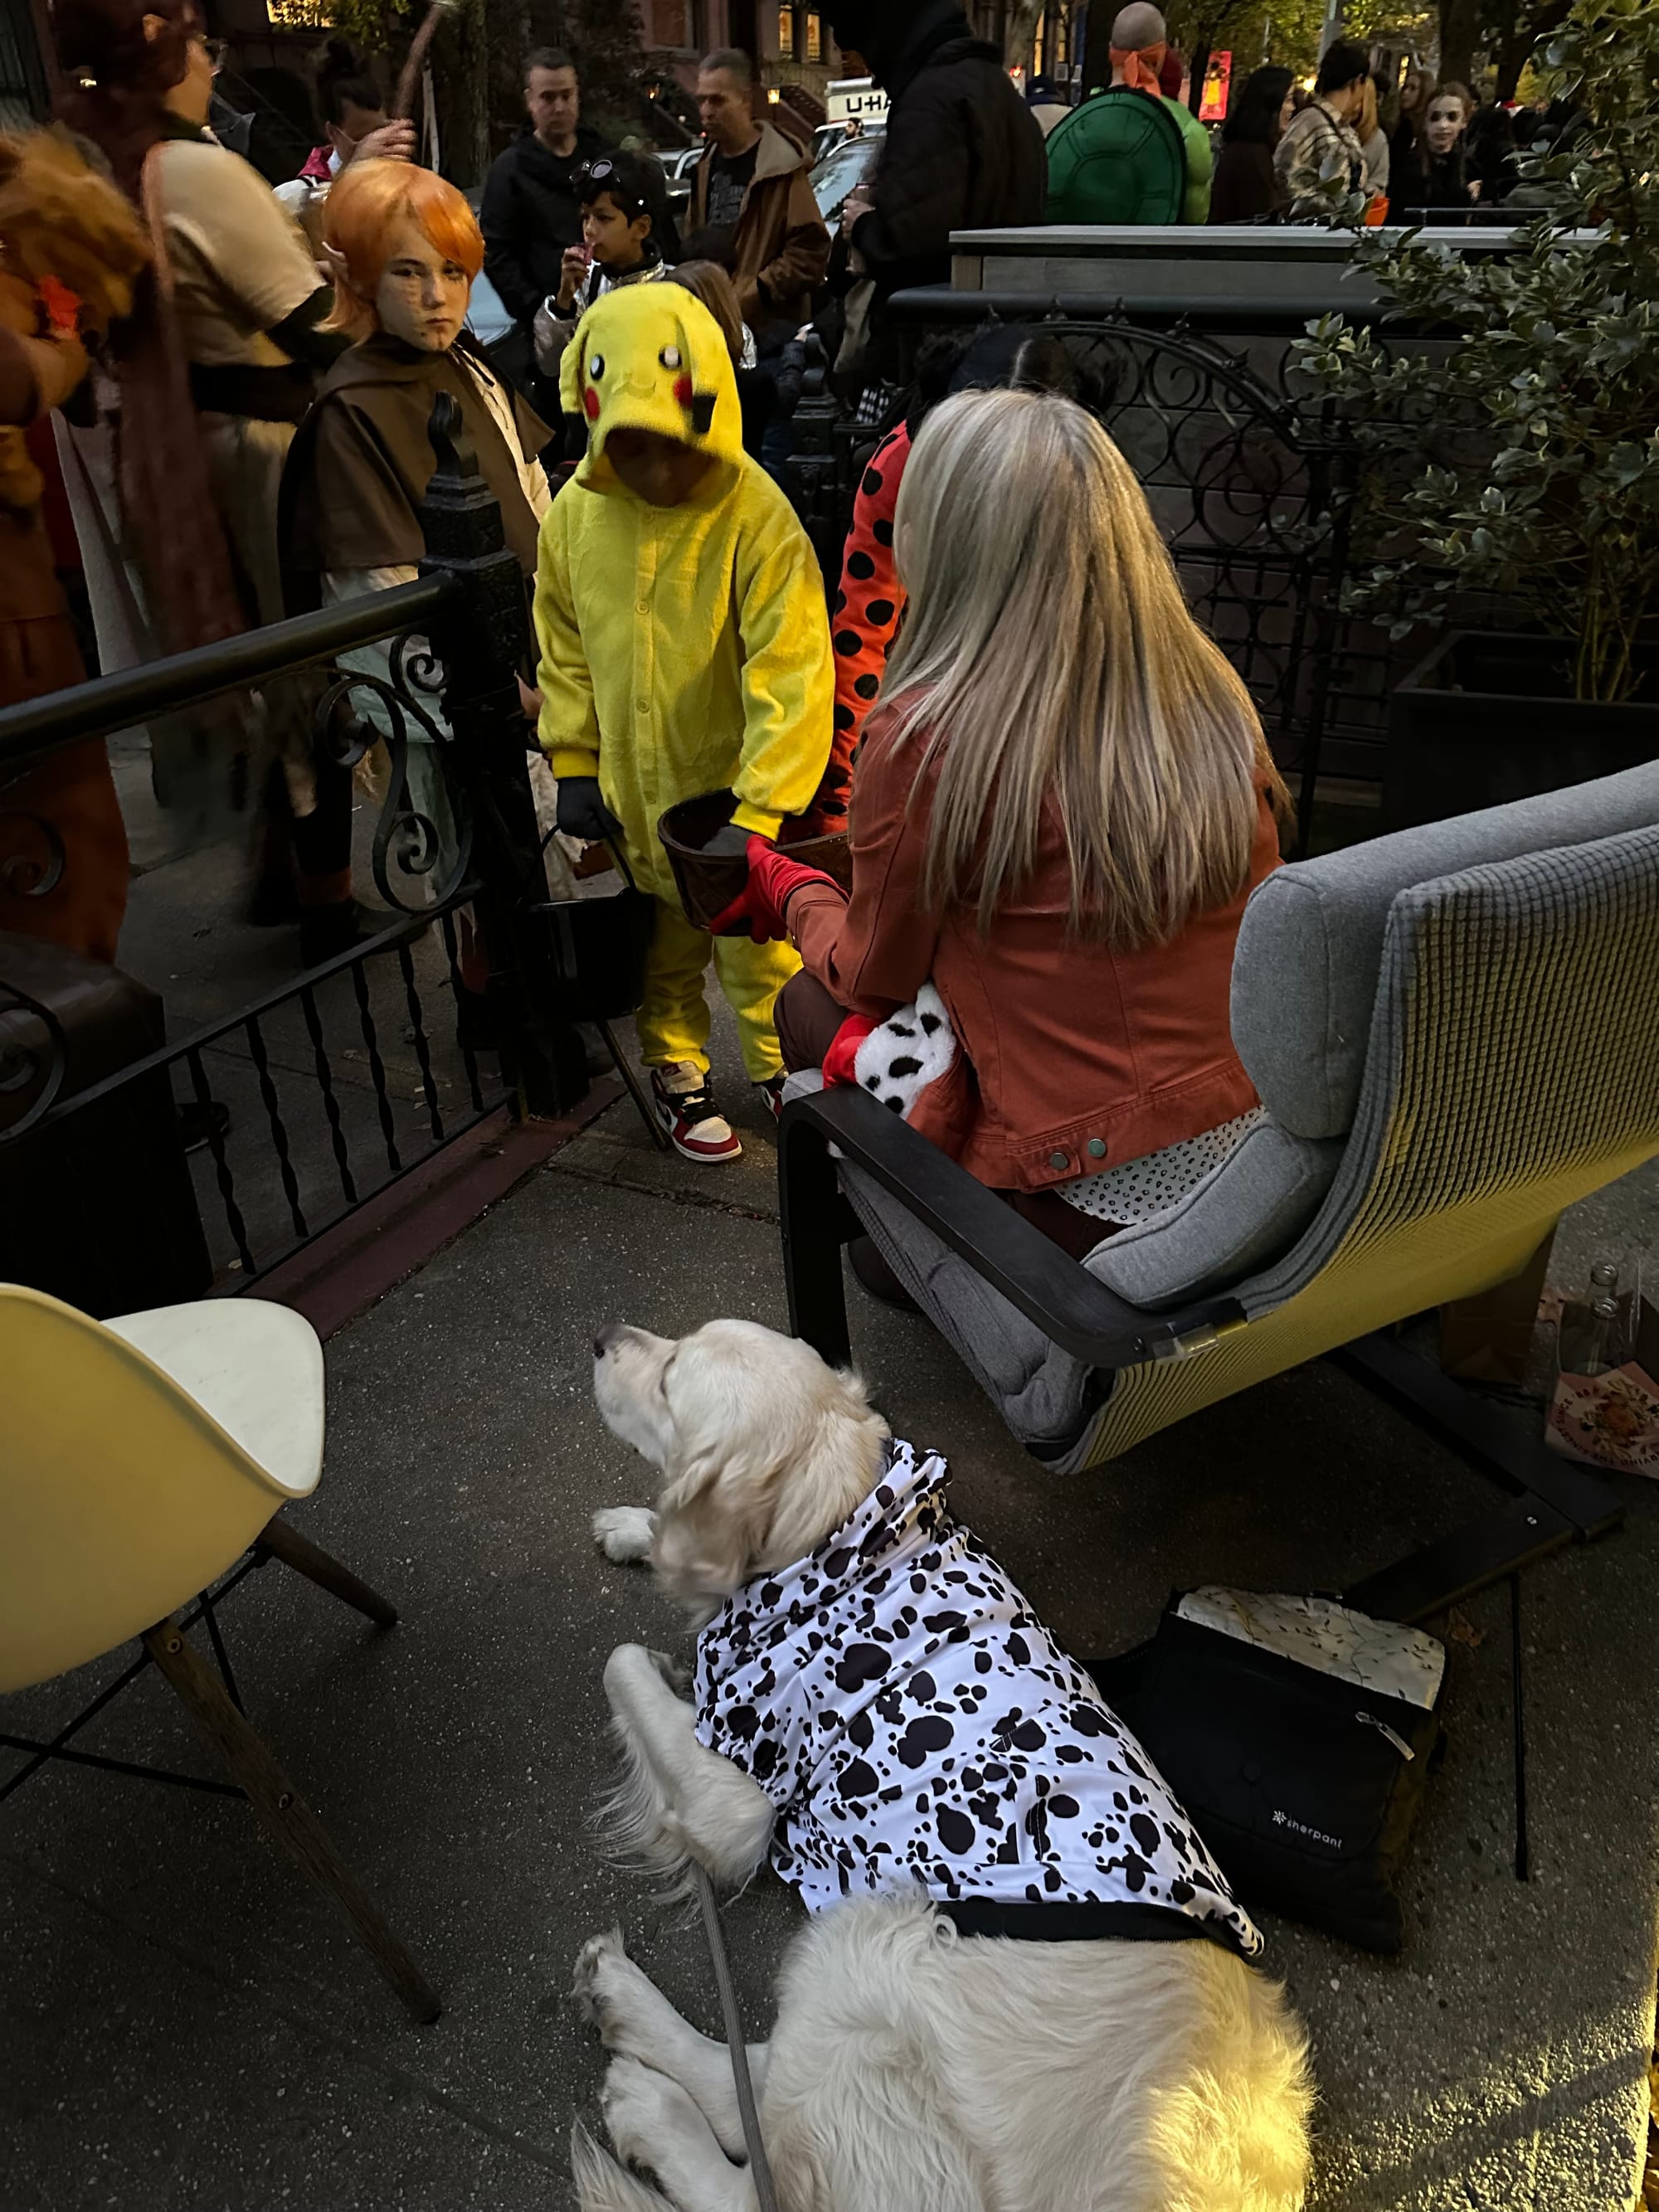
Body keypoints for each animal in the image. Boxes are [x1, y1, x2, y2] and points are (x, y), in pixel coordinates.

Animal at [579, 1318, 1318, 2203]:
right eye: (675, 1340)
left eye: (670, 1381)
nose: (601, 1337)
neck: (838, 1529)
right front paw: (637, 1530)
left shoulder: (738, 1810)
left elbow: (620, 1659)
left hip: (876, 1943)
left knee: (753, 2164)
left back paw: (646, 2091)